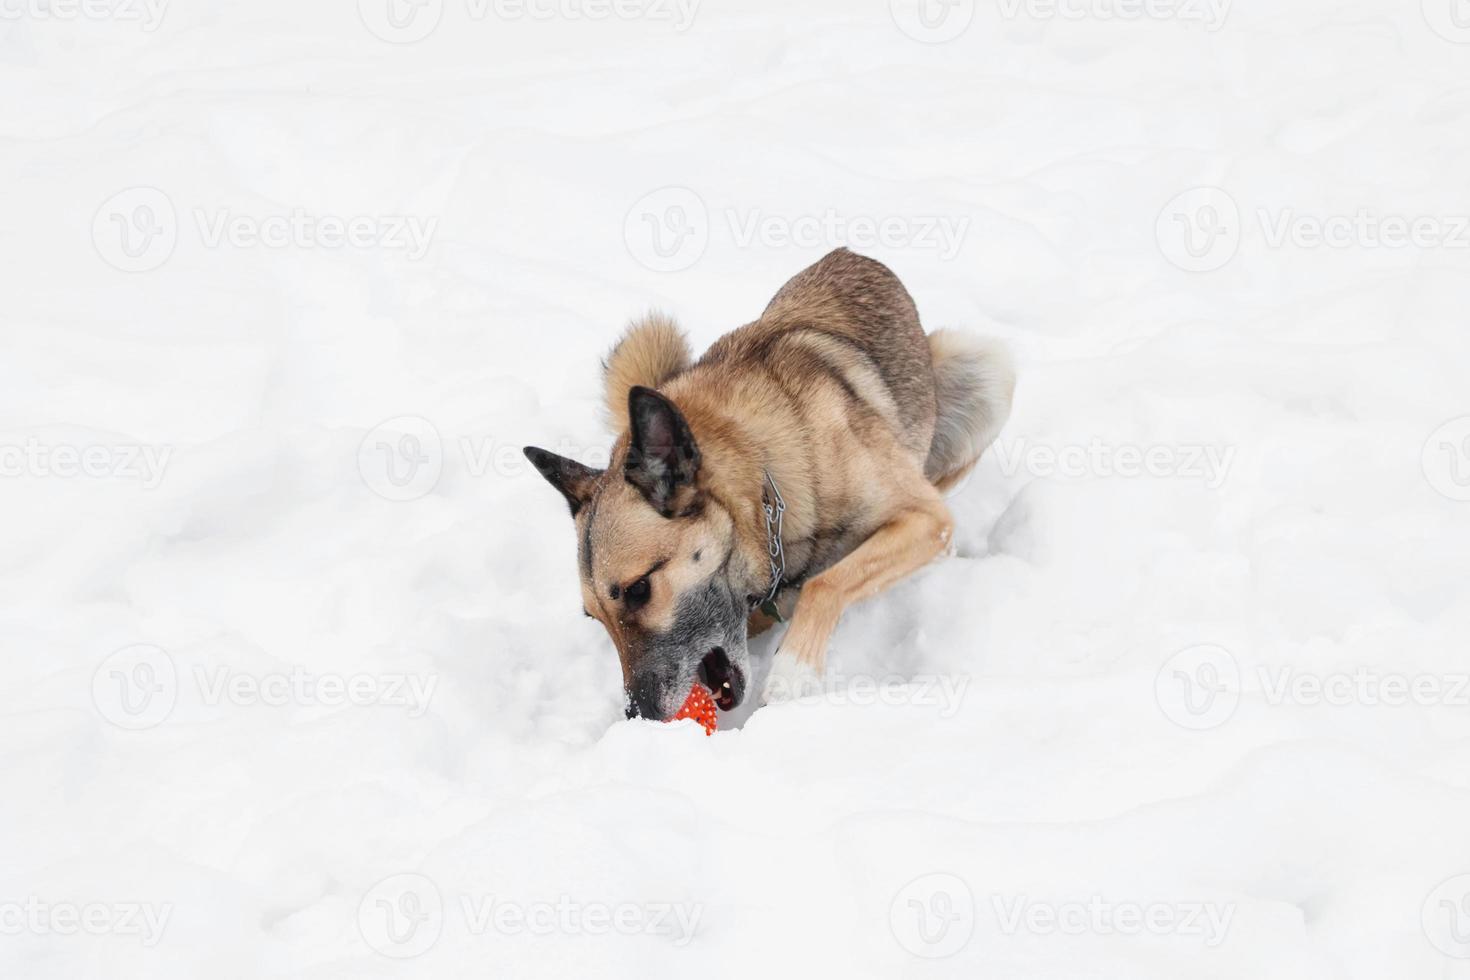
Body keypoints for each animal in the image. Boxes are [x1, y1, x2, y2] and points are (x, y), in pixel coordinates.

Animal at [523, 249, 1017, 725]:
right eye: (595, 618)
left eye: (639, 589)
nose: (637, 715)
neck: (764, 477)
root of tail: (853, 255)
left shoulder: (926, 519)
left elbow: (827, 584)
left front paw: (792, 672)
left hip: (988, 372)